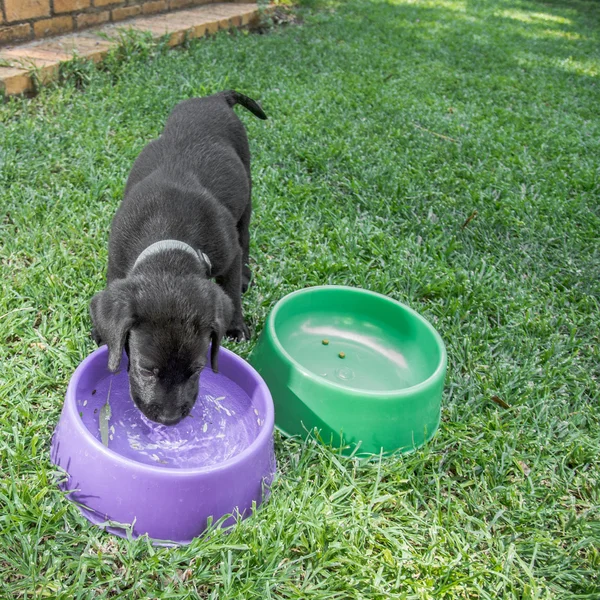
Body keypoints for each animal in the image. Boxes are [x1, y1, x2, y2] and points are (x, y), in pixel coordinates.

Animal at [89, 90, 268, 426]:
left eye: (197, 370)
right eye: (147, 370)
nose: (170, 419)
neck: (168, 233)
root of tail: (215, 98)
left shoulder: (229, 255)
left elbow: (232, 290)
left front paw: (236, 326)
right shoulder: (117, 262)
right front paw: (101, 332)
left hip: (246, 191)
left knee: (246, 234)